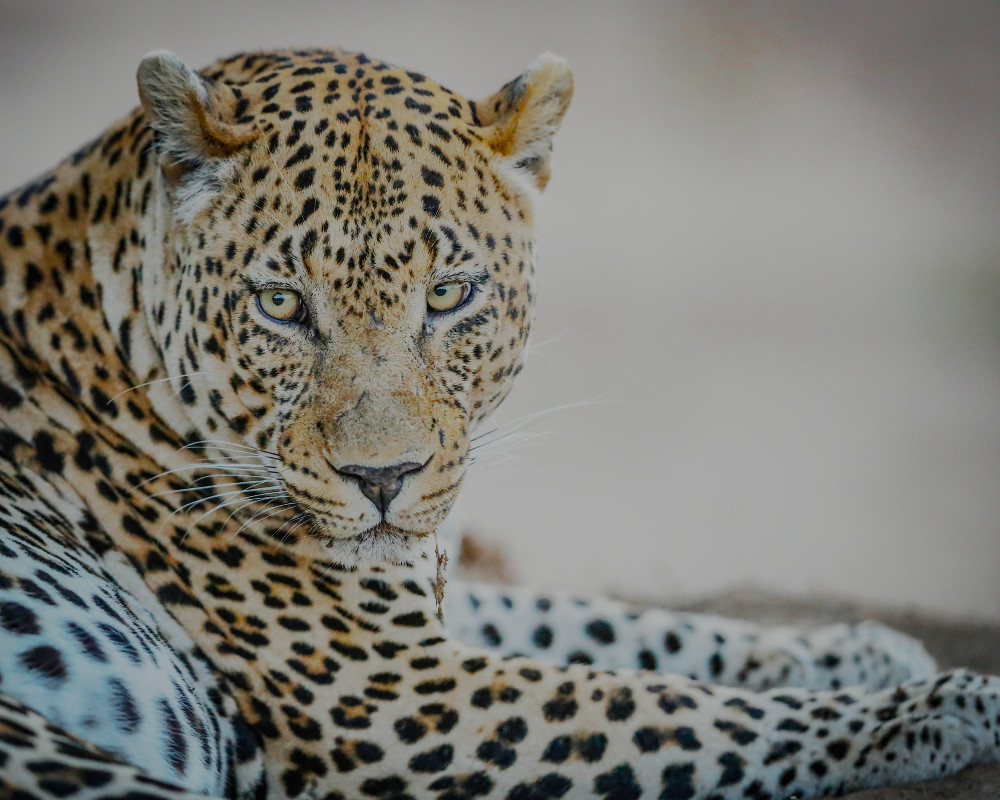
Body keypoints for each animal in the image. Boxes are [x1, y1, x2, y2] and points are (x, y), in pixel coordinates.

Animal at [0, 45, 997, 800]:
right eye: (281, 305)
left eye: (449, 295)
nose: (382, 479)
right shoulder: (397, 695)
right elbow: (674, 705)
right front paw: (937, 707)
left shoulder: (426, 602)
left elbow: (614, 621)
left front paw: (861, 648)